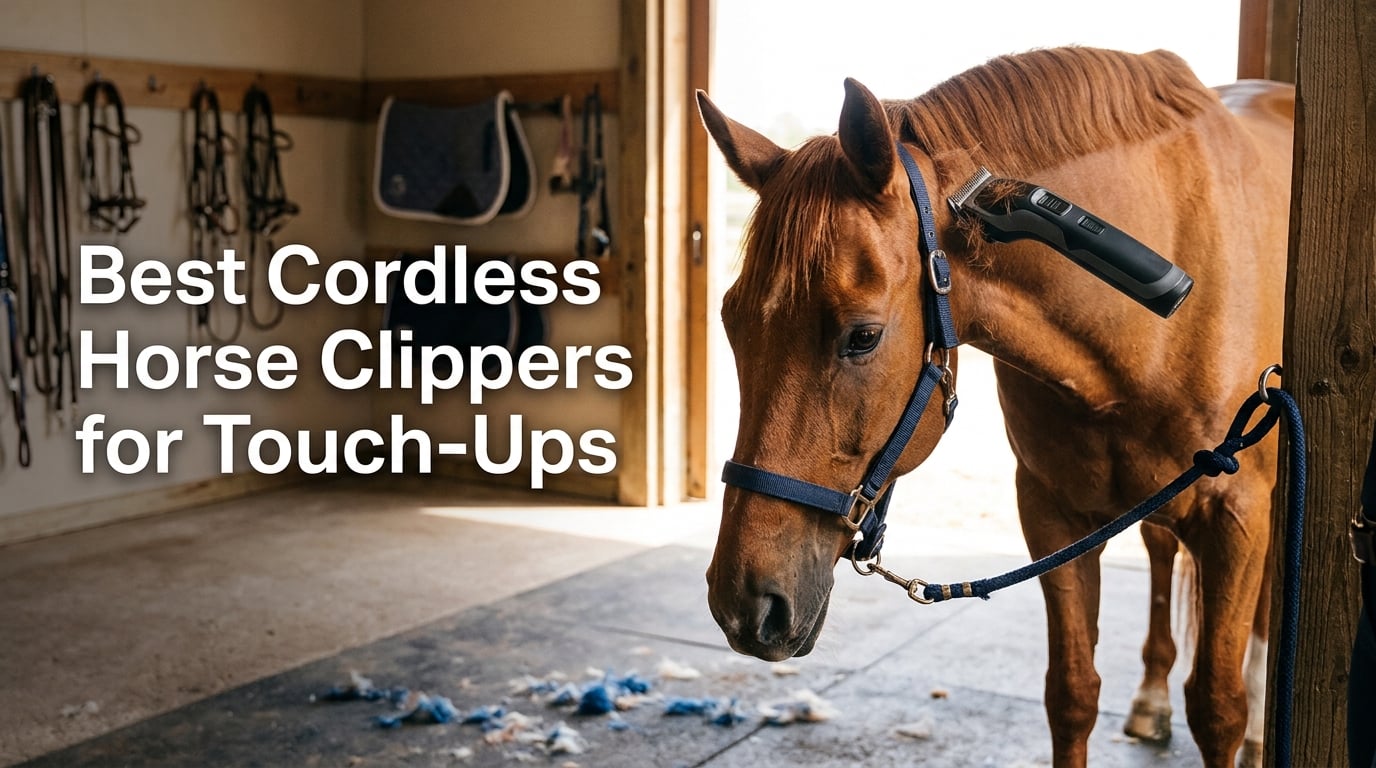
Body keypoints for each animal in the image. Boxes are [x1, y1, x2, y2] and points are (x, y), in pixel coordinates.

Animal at [696, 47, 1293, 768]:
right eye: (729, 322)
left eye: (862, 336)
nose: (744, 605)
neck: (1143, 337)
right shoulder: (1052, 515)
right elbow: (1072, 693)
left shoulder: (1235, 517)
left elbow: (1217, 708)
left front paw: (1245, 717)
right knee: (1157, 550)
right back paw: (1152, 697)